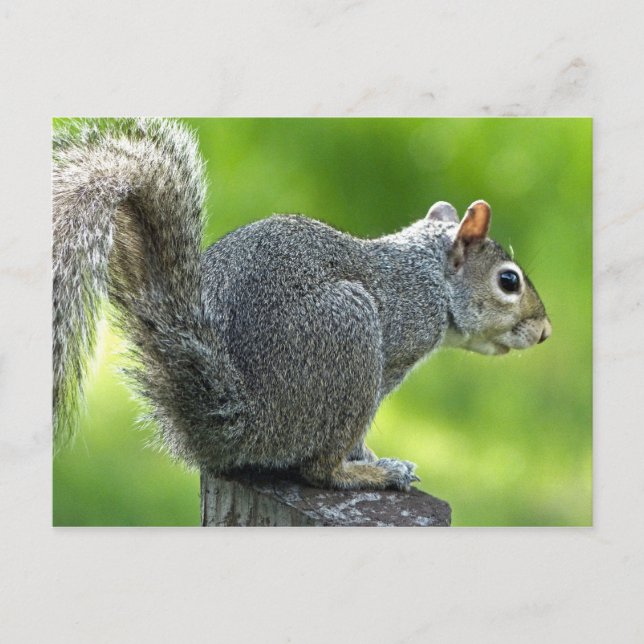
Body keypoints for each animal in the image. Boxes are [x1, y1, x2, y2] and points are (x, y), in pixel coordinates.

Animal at [53, 118, 551, 492]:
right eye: (509, 281)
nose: (545, 331)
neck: (429, 276)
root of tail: (245, 422)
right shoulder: (394, 353)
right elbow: (356, 435)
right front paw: (368, 457)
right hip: (351, 338)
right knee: (318, 469)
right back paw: (372, 474)